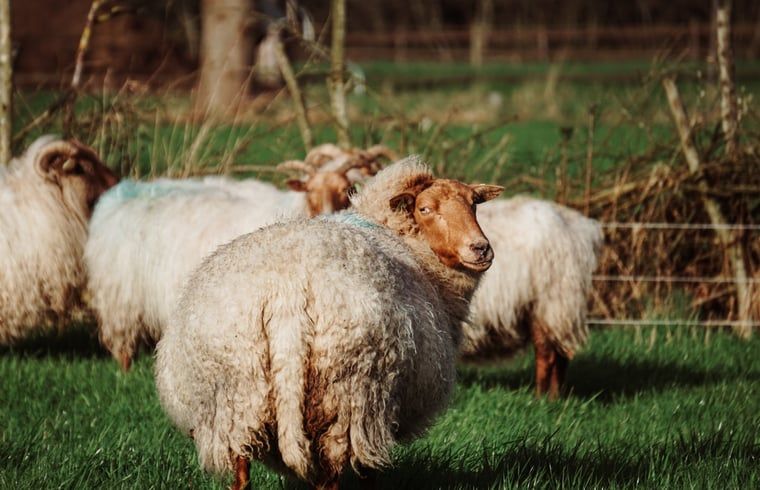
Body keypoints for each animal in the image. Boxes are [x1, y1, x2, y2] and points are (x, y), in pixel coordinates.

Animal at [154, 157, 503, 489]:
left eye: (474, 204)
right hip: (350, 394)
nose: (480, 248)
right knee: (332, 475)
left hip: (237, 398)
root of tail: (287, 292)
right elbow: (369, 474)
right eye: (425, 209)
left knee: (241, 475)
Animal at [459, 196, 603, 399]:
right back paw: (555, 398)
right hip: (558, 308)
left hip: (549, 301)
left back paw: (540, 398)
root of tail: (581, 227)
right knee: (560, 355)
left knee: (547, 355)